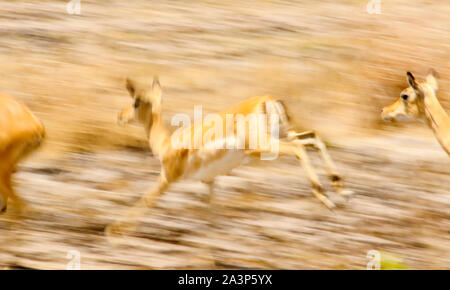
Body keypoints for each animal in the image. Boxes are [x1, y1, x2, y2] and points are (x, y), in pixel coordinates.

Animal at [106, 76, 352, 236]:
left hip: (264, 147)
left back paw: (326, 197)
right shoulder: (209, 181)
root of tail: (268, 99)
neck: (166, 144)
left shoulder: (166, 179)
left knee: (299, 149)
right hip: (282, 136)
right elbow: (211, 211)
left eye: (135, 102)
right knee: (312, 137)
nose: (119, 116)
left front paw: (114, 232)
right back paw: (340, 189)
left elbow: (146, 200)